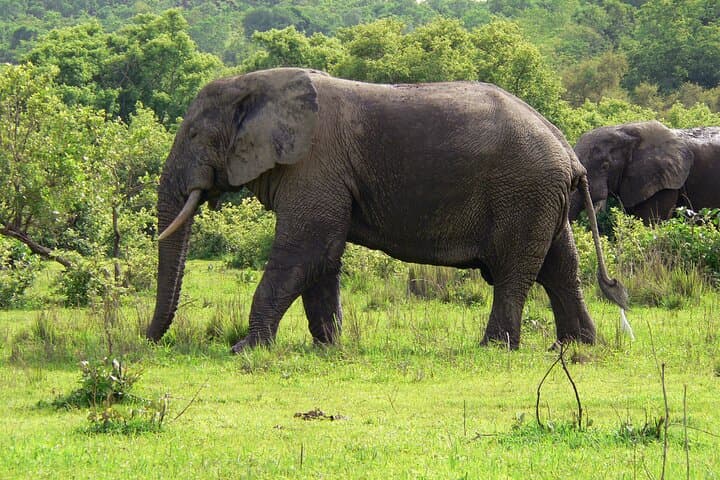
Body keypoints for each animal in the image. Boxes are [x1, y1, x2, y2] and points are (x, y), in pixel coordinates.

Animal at [147, 67, 626, 352]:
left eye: (193, 136)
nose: (149, 341)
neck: (255, 84)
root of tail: (569, 154)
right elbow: (323, 257)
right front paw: (328, 348)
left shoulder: (314, 165)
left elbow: (306, 248)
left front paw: (246, 350)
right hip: (543, 198)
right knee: (560, 267)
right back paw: (578, 347)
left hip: (523, 193)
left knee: (514, 271)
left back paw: (494, 347)